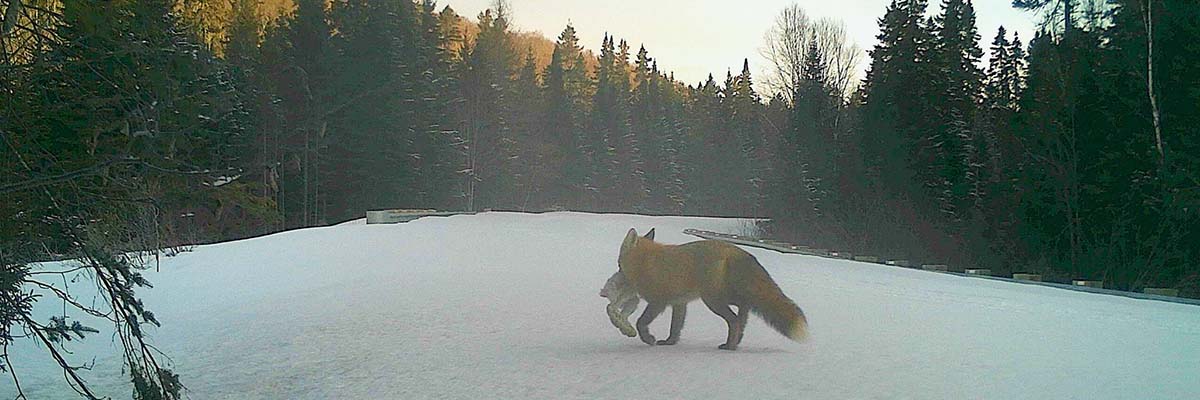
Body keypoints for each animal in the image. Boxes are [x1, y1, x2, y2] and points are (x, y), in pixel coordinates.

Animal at [617, 228, 808, 350]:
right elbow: (675, 327)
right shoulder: (679, 303)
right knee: (744, 306)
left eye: (619, 261)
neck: (645, 262)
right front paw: (670, 342)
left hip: (712, 300)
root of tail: (738, 251)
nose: (618, 273)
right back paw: (737, 339)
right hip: (722, 296)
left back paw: (730, 346)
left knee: (734, 319)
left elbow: (641, 323)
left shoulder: (658, 302)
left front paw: (649, 339)